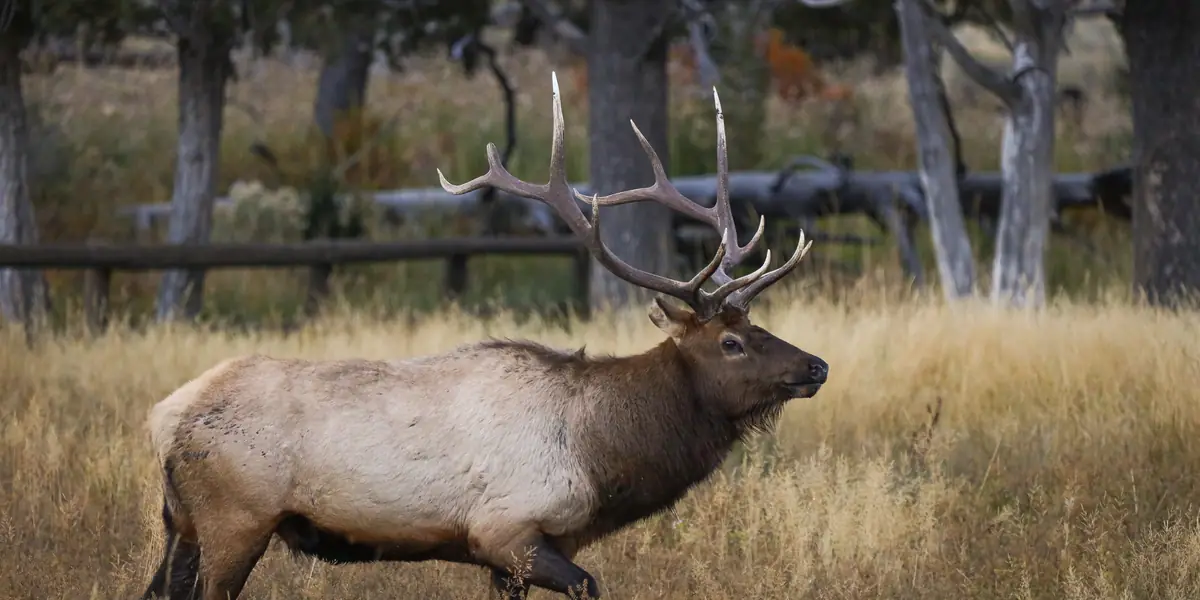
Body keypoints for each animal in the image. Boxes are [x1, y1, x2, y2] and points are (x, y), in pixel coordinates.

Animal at [139, 72, 829, 600]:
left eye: (757, 326)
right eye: (731, 343)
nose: (816, 366)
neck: (600, 454)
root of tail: (164, 416)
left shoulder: (515, 554)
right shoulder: (509, 531)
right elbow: (591, 585)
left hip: (182, 525)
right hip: (235, 519)